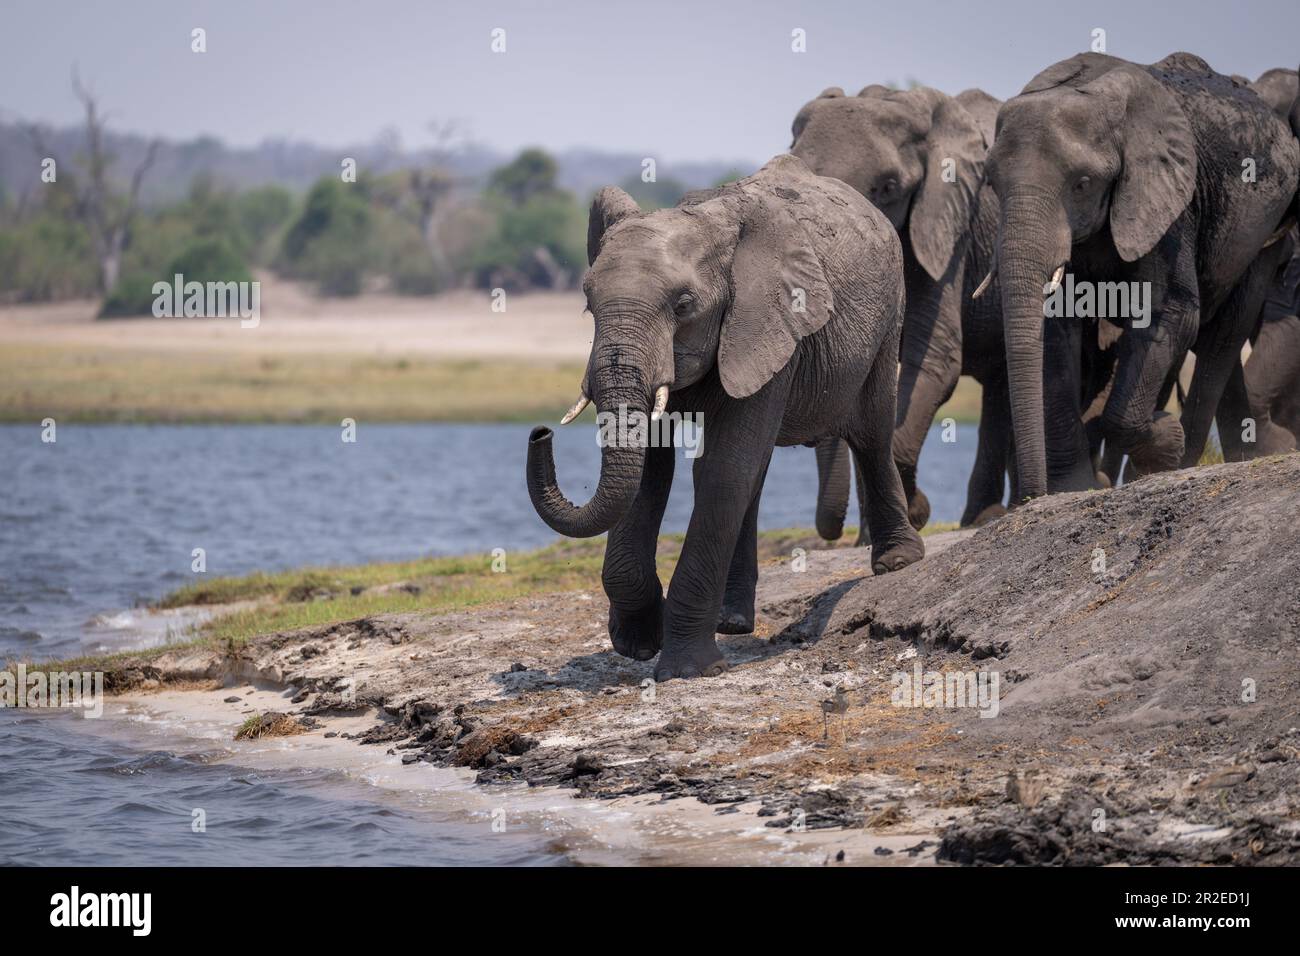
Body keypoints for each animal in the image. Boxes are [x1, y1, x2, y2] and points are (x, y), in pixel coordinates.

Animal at [525, 154, 924, 680]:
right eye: (589, 305)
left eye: (683, 305)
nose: (539, 433)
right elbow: (655, 471)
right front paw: (637, 641)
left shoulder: (771, 319)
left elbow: (720, 470)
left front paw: (689, 670)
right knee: (756, 472)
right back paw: (732, 622)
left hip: (890, 313)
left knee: (872, 431)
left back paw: (898, 563)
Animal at [985, 52, 1300, 499]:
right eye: (991, 183)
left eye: (1082, 184)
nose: (1032, 495)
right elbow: (1055, 329)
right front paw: (1074, 488)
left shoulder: (1170, 202)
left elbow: (1167, 312)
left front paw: (1165, 445)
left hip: (1266, 229)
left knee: (1223, 335)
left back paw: (1185, 461)